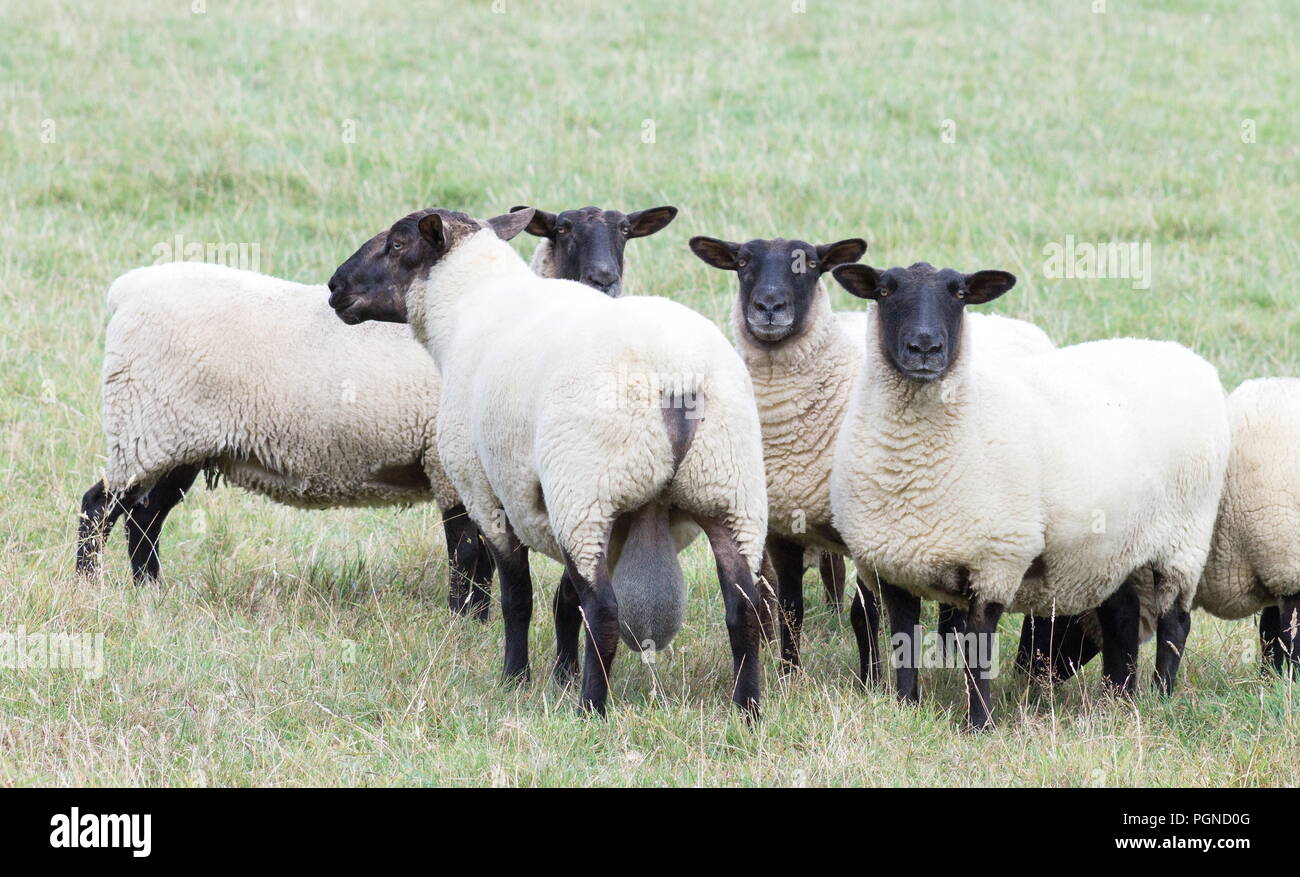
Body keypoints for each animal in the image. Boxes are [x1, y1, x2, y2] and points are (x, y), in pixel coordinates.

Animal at [327, 209, 769, 717]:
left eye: (398, 244)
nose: (334, 286)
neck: (467, 306)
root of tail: (677, 378)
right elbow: (563, 600)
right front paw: (562, 674)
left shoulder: (490, 495)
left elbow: (519, 597)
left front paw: (516, 679)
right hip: (728, 492)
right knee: (743, 609)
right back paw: (747, 710)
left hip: (588, 490)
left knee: (605, 612)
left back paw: (591, 709)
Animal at [826, 262, 1232, 732]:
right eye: (884, 290)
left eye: (960, 293)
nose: (925, 347)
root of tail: (1188, 358)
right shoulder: (893, 565)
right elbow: (903, 639)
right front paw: (906, 707)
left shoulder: (995, 561)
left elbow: (978, 648)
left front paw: (979, 724)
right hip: (1114, 546)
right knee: (1123, 612)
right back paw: (1118, 697)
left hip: (1183, 539)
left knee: (1175, 623)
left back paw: (1161, 696)